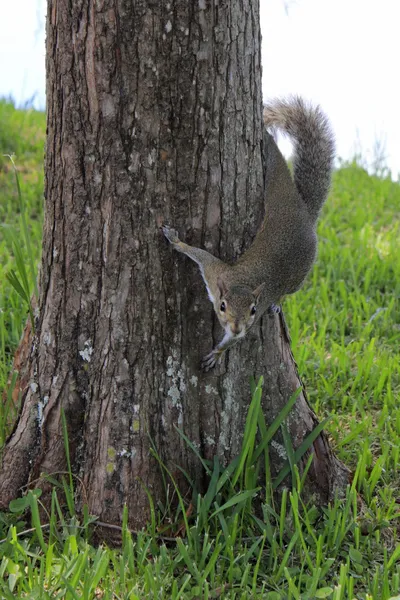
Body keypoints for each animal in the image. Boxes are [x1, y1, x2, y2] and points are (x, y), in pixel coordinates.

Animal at [162, 95, 334, 370]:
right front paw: (177, 242)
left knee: (288, 292)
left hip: (298, 275)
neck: (242, 284)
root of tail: (306, 215)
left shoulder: (230, 288)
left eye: (254, 310)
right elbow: (199, 254)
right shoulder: (215, 272)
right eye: (222, 306)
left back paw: (277, 304)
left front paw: (218, 352)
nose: (236, 326)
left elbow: (234, 339)